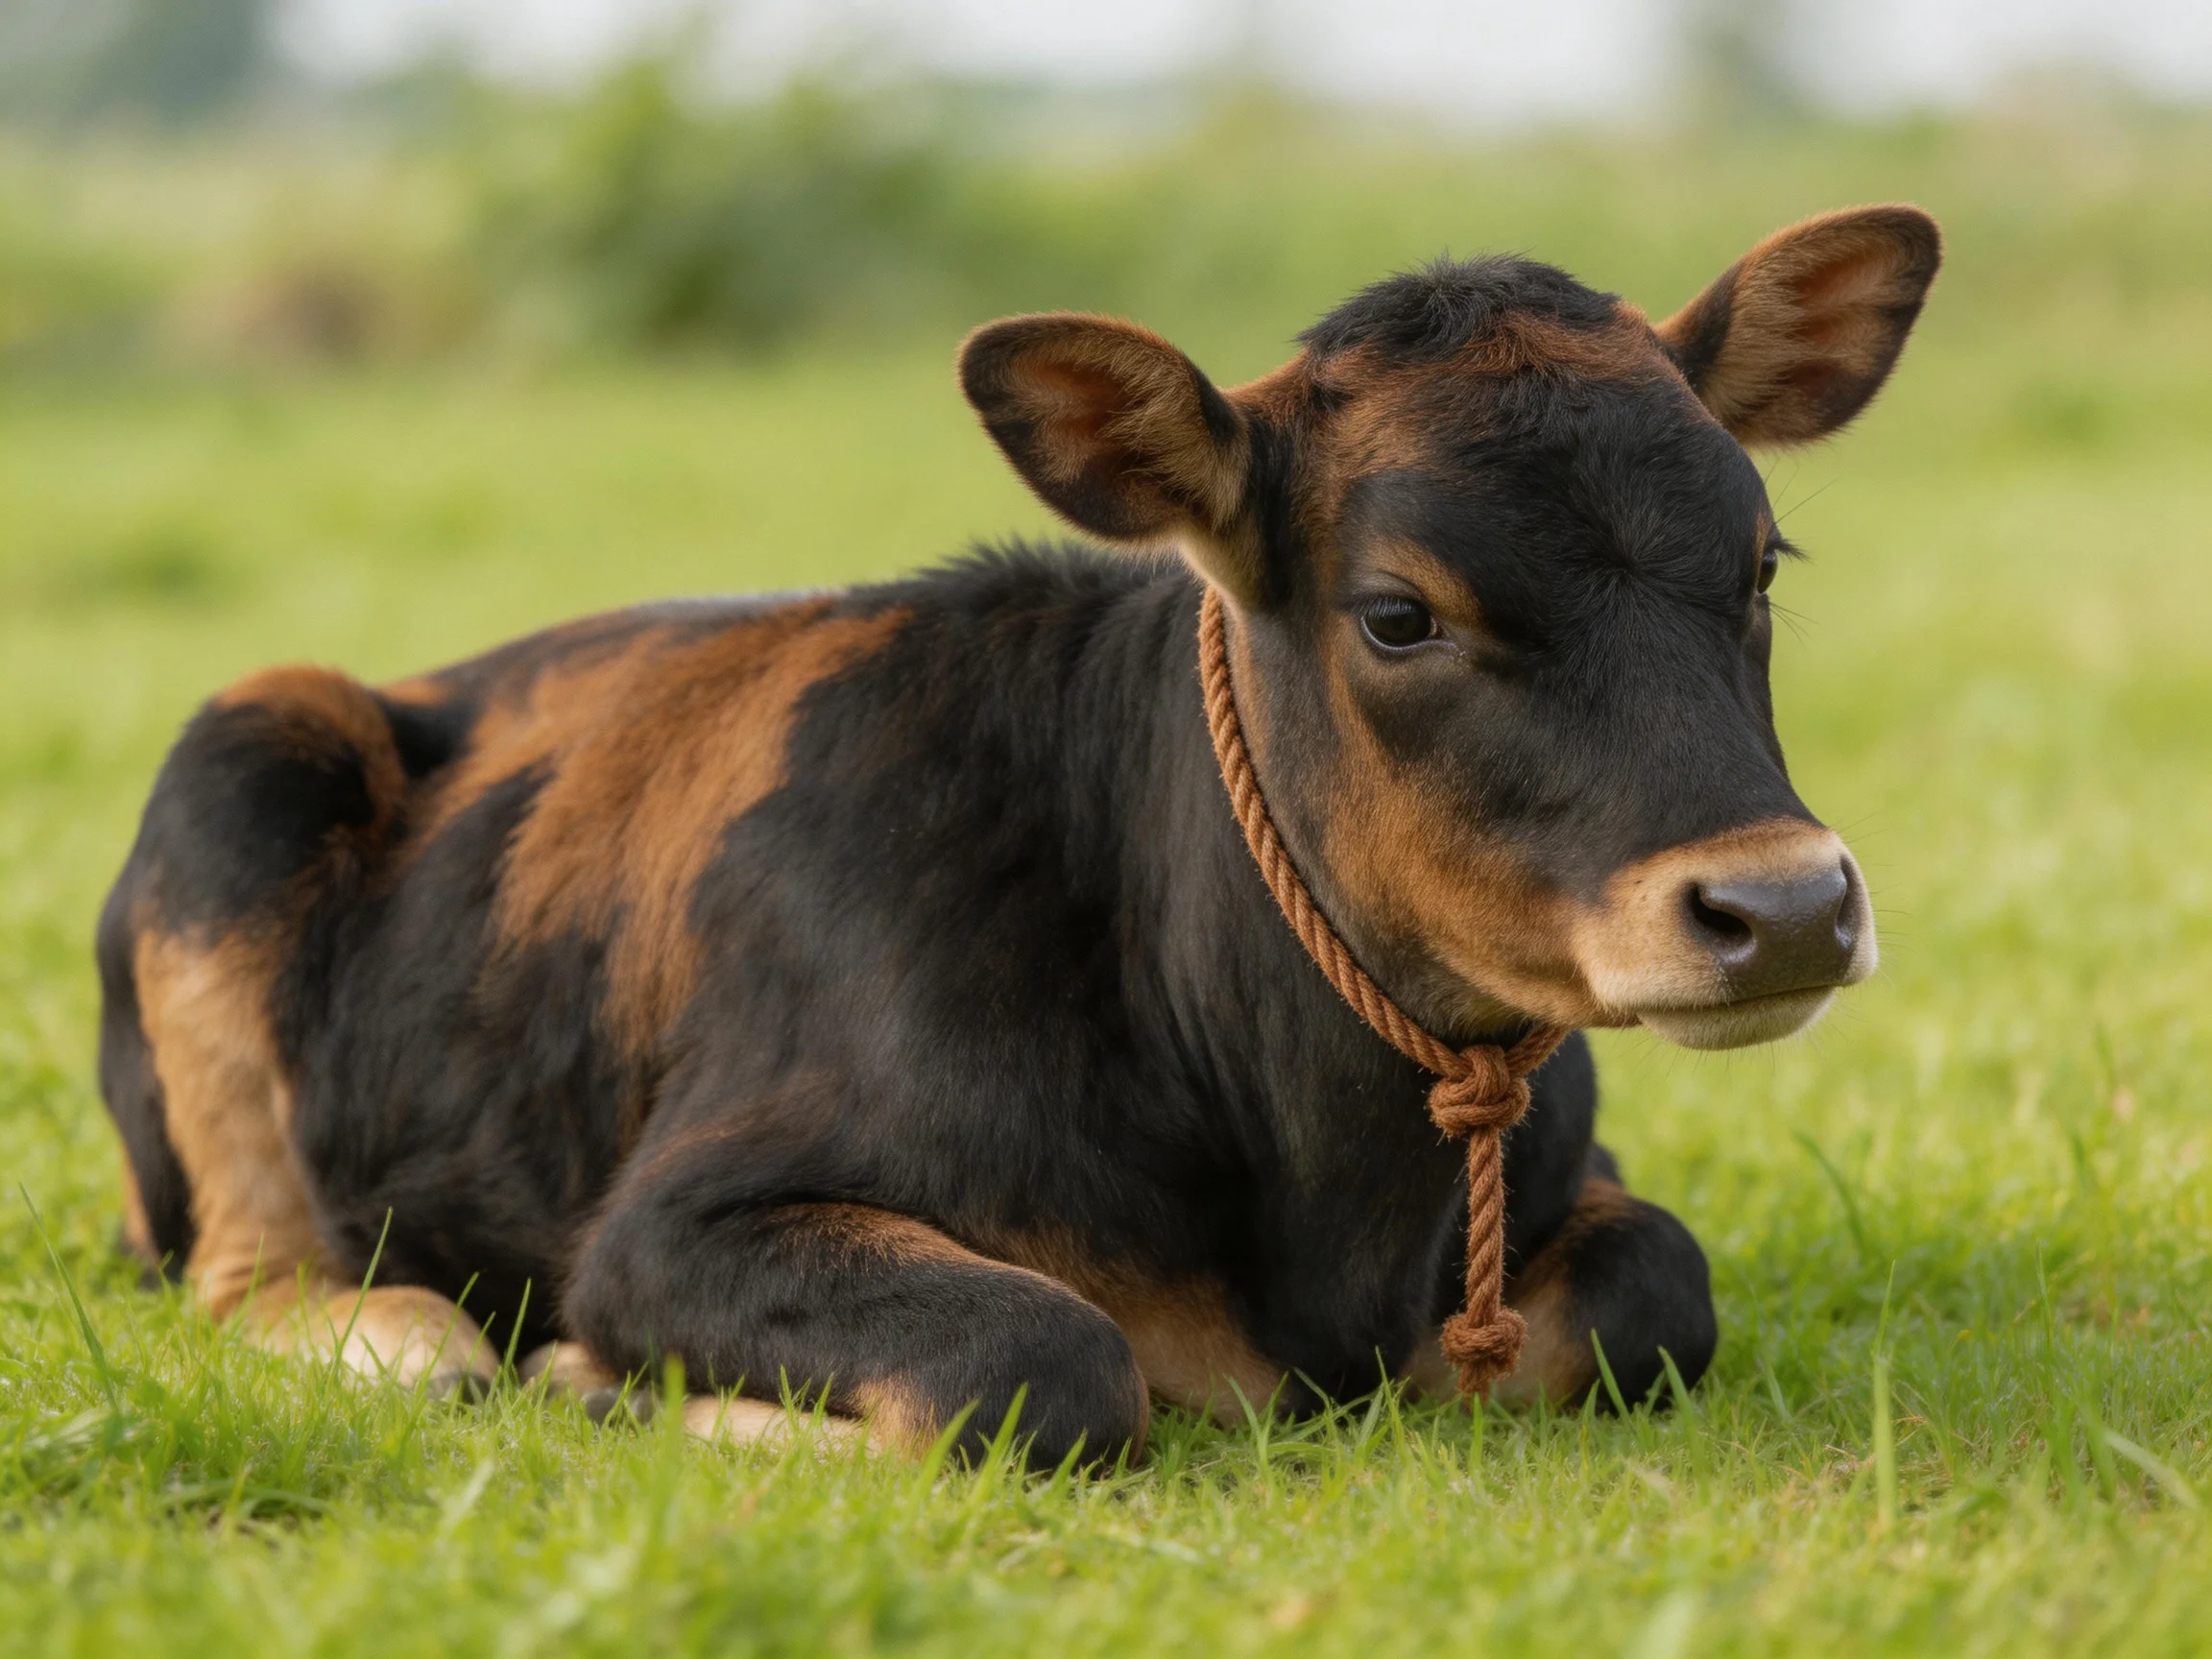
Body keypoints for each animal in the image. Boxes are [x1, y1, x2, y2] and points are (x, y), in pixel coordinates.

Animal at [97, 206, 1940, 1469]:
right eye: (1398, 612)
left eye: (1760, 561)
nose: (1779, 905)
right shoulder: (671, 1222)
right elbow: (1033, 1365)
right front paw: (602, 1381)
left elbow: (1656, 1290)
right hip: (241, 755)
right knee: (251, 1273)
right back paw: (415, 1332)